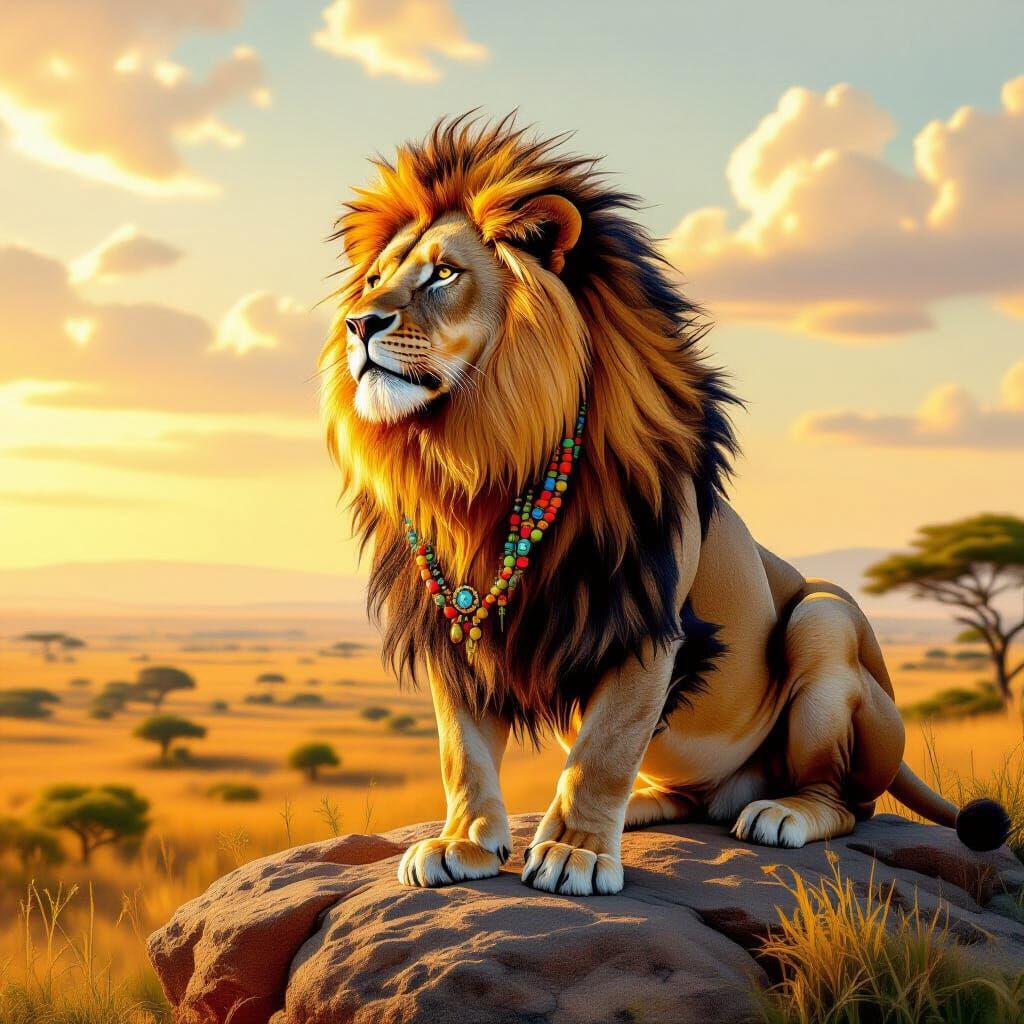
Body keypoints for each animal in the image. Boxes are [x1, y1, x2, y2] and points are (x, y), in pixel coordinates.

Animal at [320, 115, 1010, 897]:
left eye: (443, 273)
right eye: (375, 280)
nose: (359, 323)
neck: (478, 461)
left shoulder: (643, 620)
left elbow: (604, 749)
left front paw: (577, 853)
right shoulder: (454, 627)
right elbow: (460, 750)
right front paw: (464, 841)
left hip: (824, 621)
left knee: (846, 801)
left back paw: (781, 812)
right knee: (692, 795)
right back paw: (645, 806)